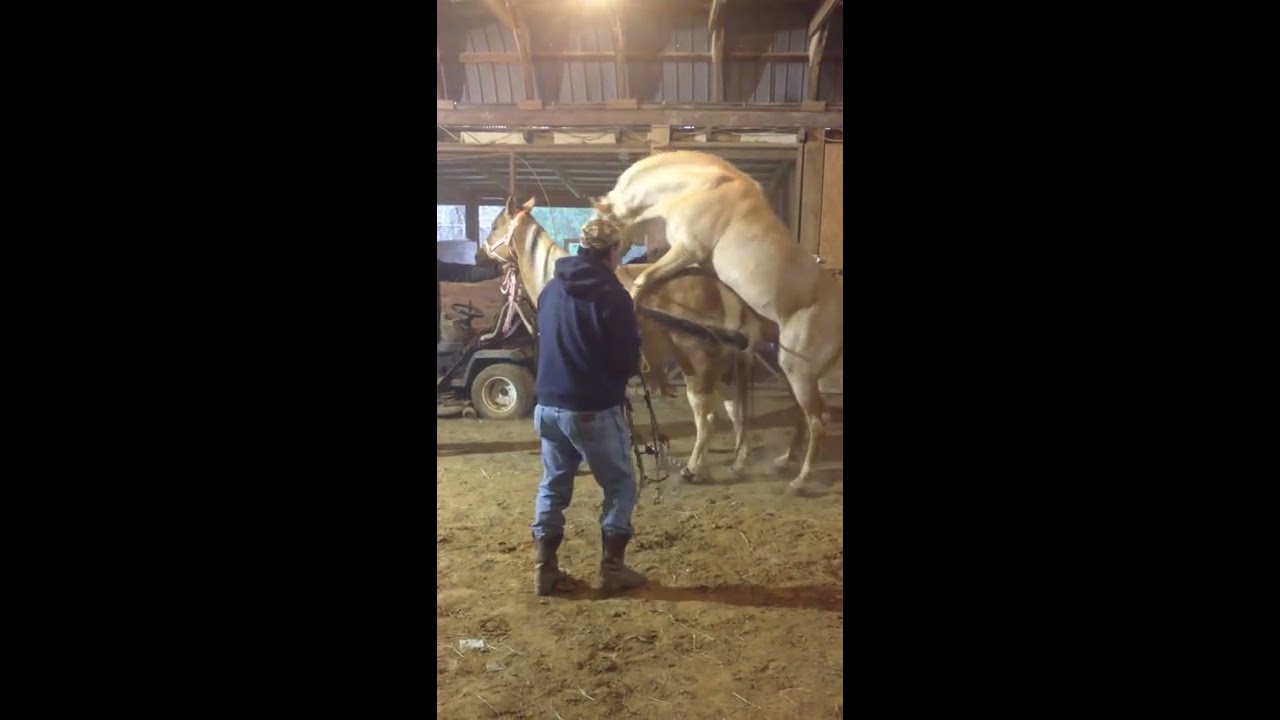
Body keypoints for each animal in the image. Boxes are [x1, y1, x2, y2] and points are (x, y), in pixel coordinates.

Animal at [483, 196, 781, 482]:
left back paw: (694, 468)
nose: (481, 253)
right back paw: (739, 463)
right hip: (725, 368)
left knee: (707, 416)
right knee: (736, 410)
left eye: (495, 225)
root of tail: (720, 286)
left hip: (697, 364)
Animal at [588, 150, 843, 494]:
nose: (588, 248)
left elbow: (644, 278)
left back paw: (799, 481)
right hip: (796, 374)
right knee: (803, 418)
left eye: (601, 227)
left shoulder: (687, 249)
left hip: (797, 370)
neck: (702, 187)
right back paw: (783, 462)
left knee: (818, 422)